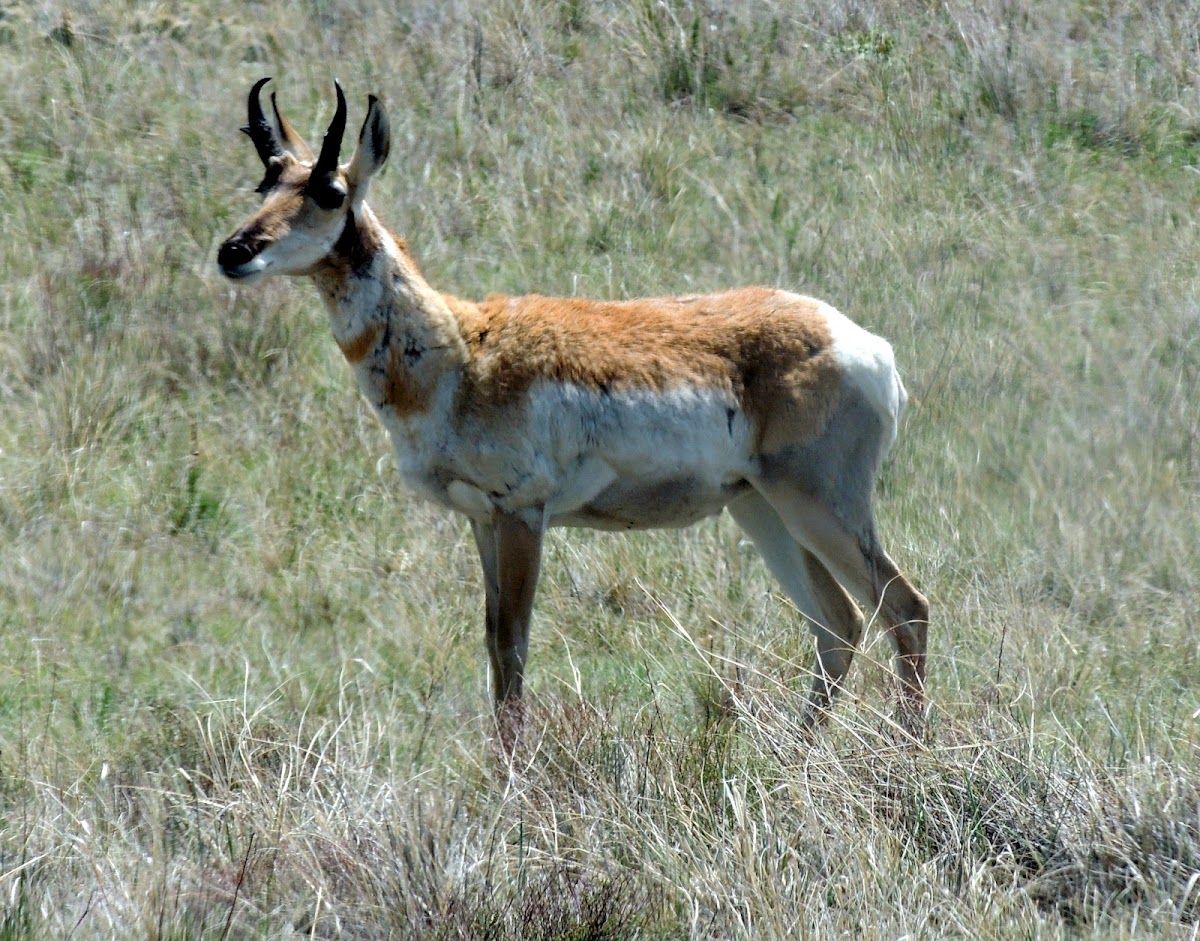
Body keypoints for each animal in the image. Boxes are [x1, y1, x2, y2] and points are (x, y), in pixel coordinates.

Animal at [216, 79, 926, 729]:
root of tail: (861, 342)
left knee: (903, 608)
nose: (234, 251)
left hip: (818, 505)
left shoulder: (522, 515)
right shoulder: (481, 520)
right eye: (265, 185)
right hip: (763, 509)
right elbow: (494, 647)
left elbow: (513, 648)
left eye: (329, 192)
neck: (462, 349)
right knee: (838, 626)